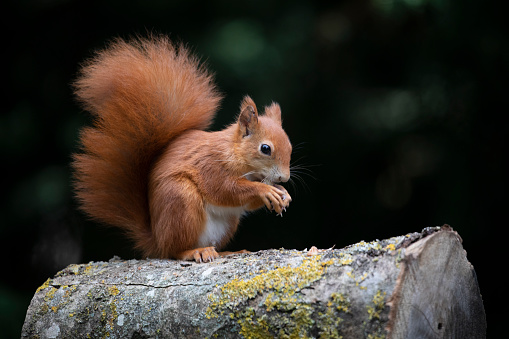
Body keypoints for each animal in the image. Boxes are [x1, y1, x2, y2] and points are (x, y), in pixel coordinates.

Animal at [73, 35, 292, 262]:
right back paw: (195, 251)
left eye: (290, 146)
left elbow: (244, 203)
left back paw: (227, 251)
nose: (284, 178)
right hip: (181, 200)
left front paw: (283, 194)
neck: (235, 155)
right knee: (175, 250)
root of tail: (157, 240)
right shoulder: (210, 164)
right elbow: (224, 189)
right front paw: (266, 190)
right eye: (265, 148)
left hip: (226, 223)